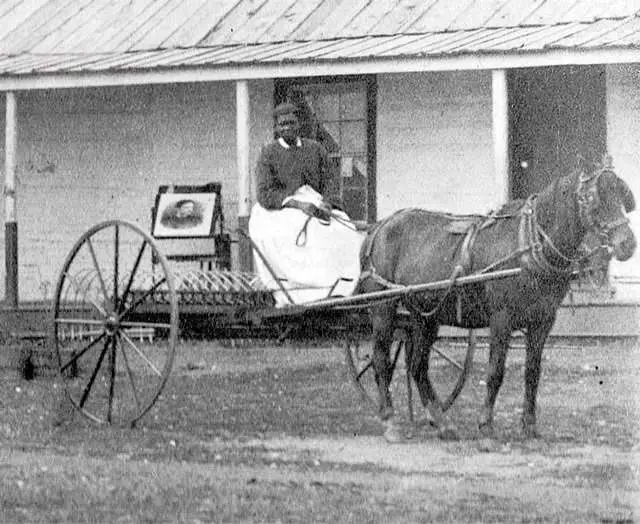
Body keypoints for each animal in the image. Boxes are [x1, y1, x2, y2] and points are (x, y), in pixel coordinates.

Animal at [356, 157, 636, 442]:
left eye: (622, 194)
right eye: (593, 198)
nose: (628, 244)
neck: (529, 243)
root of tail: (379, 227)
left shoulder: (543, 321)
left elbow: (532, 373)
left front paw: (529, 425)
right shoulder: (501, 319)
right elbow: (495, 372)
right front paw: (486, 426)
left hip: (425, 314)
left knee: (418, 366)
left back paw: (441, 422)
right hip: (383, 307)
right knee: (381, 360)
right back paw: (390, 421)